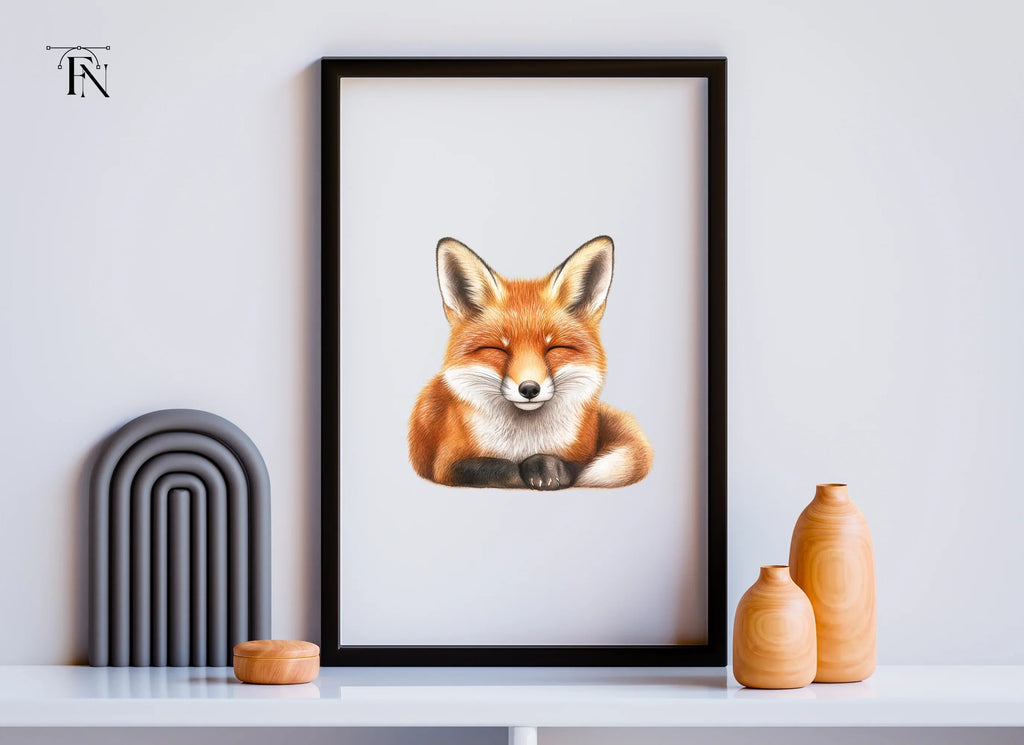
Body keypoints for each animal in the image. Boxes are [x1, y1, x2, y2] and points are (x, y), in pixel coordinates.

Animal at [408, 235, 653, 490]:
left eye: (554, 348)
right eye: (498, 349)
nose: (529, 389)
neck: (525, 442)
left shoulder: (584, 454)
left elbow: (576, 468)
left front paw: (547, 468)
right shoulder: (446, 465)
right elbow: (499, 468)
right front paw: (526, 471)